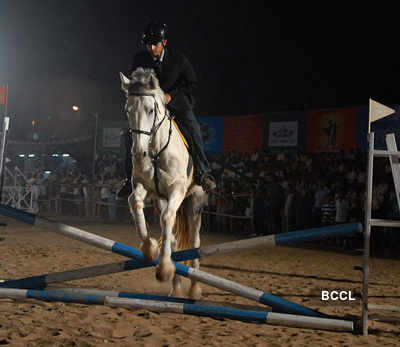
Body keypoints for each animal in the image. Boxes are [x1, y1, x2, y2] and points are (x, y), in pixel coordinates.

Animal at [119, 68, 206, 300]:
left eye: (151, 110)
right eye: (127, 111)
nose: (139, 154)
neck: (156, 151)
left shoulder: (177, 189)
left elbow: (168, 219)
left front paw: (165, 268)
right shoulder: (145, 187)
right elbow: (135, 203)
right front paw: (150, 249)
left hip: (195, 201)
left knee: (194, 241)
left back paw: (194, 289)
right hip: (162, 199)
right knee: (174, 238)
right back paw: (175, 288)